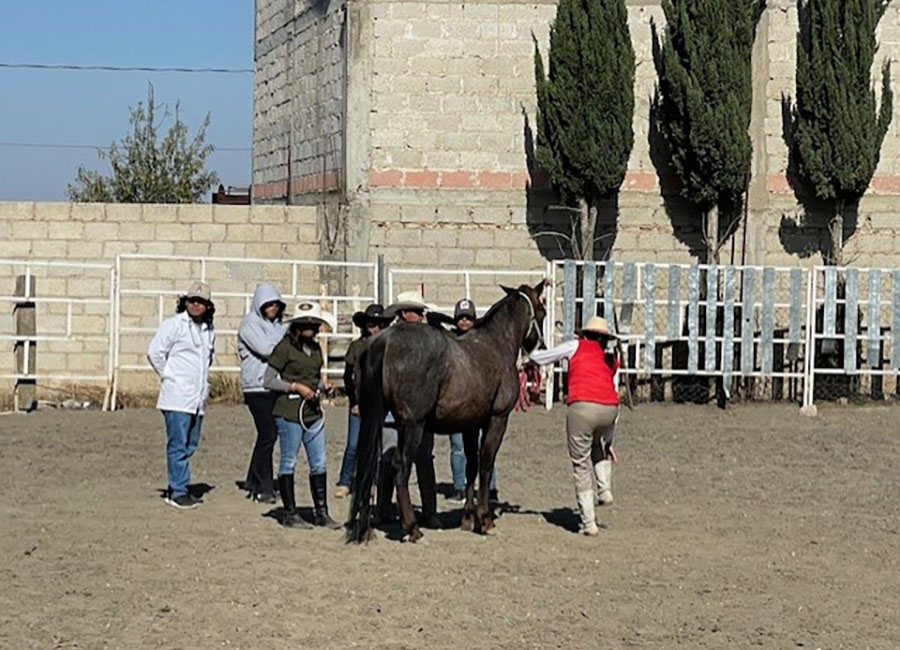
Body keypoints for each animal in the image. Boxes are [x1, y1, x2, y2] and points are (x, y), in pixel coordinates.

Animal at [346, 280, 548, 540]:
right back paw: (412, 528)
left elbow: (471, 466)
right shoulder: (497, 420)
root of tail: (385, 342)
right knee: (400, 466)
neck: (495, 343)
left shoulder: (471, 425)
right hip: (413, 426)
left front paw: (468, 518)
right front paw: (485, 519)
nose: (542, 347)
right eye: (542, 311)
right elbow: (486, 464)